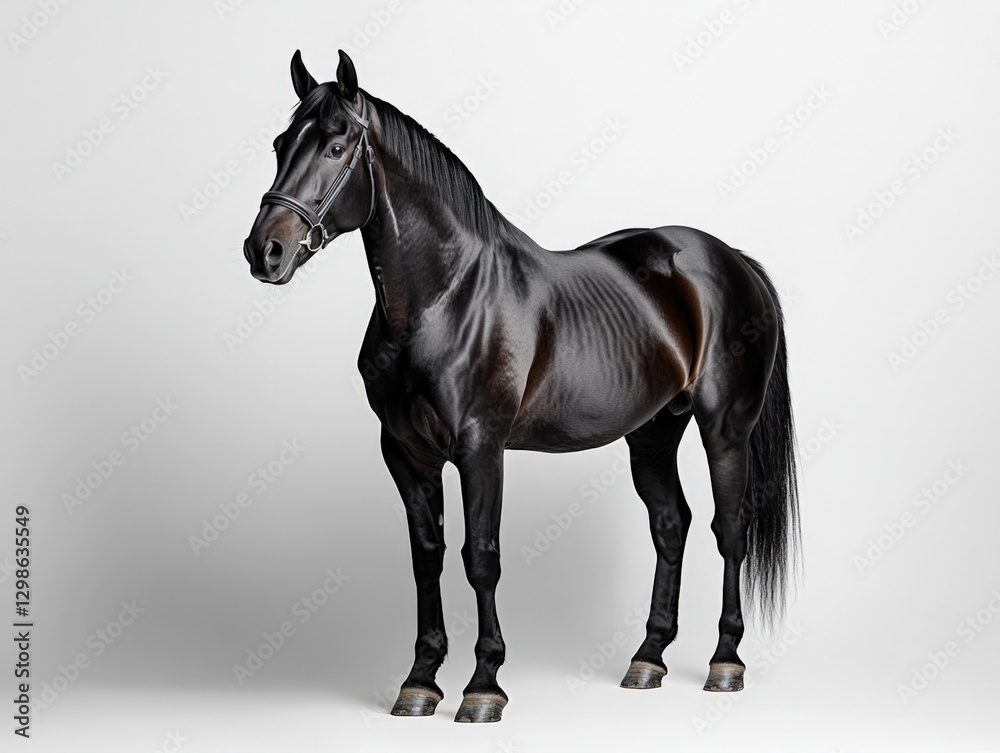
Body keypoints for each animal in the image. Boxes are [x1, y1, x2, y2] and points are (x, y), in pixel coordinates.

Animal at [243, 49, 800, 723]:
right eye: (280, 144)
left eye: (335, 144)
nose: (264, 251)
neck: (447, 296)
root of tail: (733, 260)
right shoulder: (404, 453)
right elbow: (426, 558)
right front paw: (420, 681)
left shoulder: (481, 447)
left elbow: (481, 558)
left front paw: (484, 686)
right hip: (653, 431)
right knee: (672, 525)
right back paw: (647, 659)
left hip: (725, 428)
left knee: (729, 529)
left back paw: (725, 662)